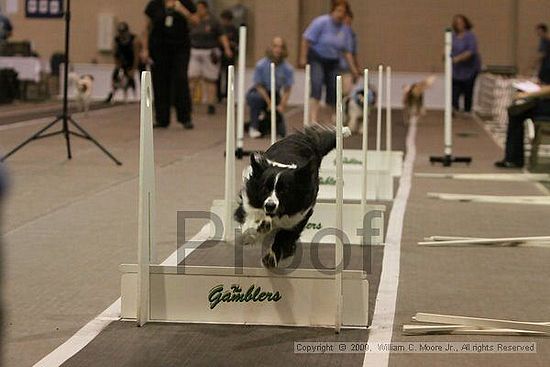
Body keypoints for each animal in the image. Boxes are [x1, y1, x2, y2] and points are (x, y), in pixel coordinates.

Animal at [235, 125, 352, 268]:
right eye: (265, 188)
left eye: (284, 190)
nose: (270, 205)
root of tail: (309, 140)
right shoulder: (249, 201)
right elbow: (249, 222)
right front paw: (258, 227)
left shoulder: (299, 217)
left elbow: (284, 237)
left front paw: (271, 257)